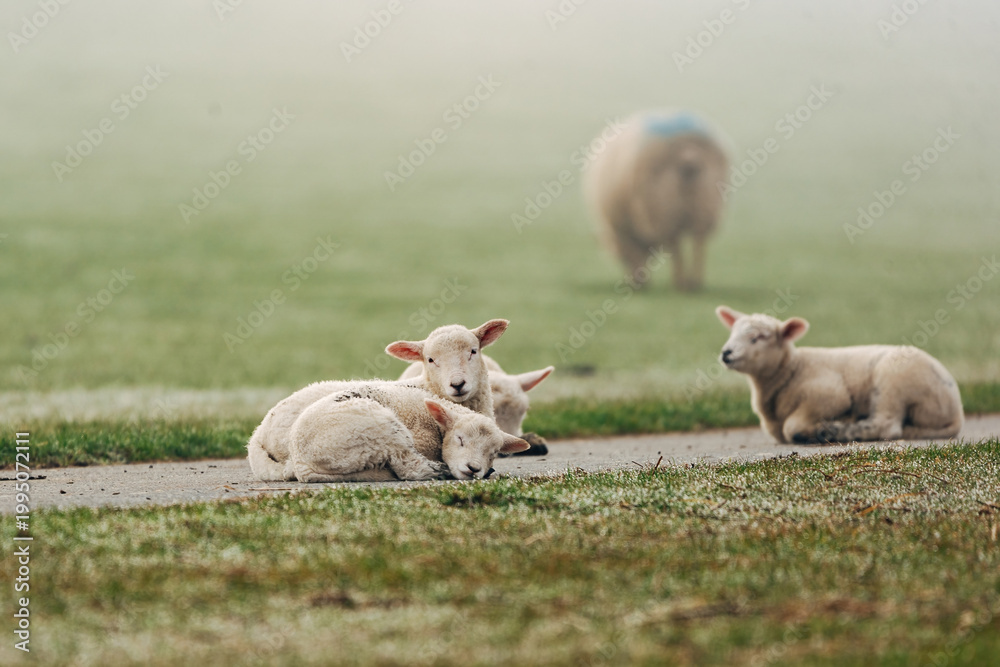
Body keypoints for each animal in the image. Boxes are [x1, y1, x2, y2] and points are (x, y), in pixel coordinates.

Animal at [246, 319, 508, 480]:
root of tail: (257, 436)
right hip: (379, 430)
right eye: (430, 359)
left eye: (473, 351)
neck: (427, 387)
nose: (457, 384)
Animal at [285, 382, 530, 483]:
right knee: (409, 468)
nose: (474, 469)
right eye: (460, 439)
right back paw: (439, 471)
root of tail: (302, 464)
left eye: (493, 453)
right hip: (380, 431)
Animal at [585, 110, 729, 291]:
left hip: (663, 208)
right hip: (706, 203)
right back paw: (695, 283)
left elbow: (634, 252)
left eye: (621, 259)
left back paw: (681, 284)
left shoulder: (623, 230)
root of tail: (688, 155)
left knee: (676, 246)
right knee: (699, 241)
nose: (636, 282)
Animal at [715, 306, 964, 444]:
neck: (792, 369)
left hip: (893, 381)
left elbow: (791, 428)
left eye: (757, 337)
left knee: (887, 425)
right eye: (732, 333)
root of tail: (956, 411)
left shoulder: (830, 394)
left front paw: (814, 431)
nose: (726, 353)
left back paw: (834, 431)